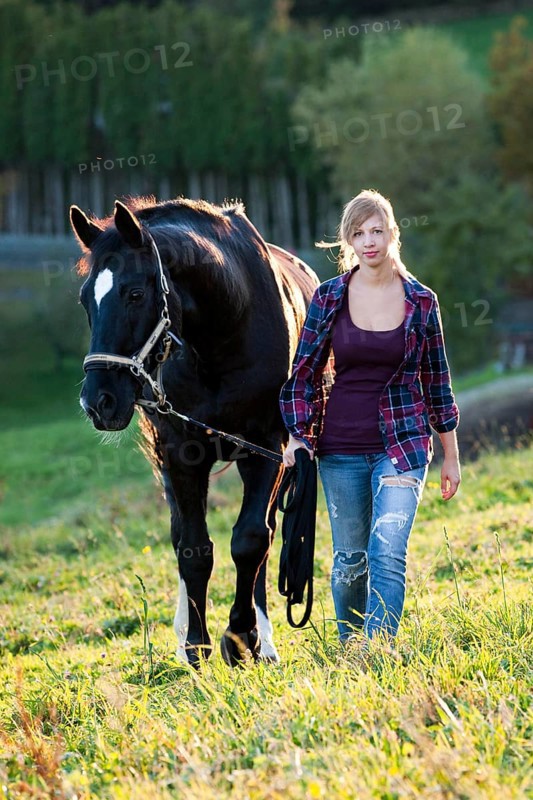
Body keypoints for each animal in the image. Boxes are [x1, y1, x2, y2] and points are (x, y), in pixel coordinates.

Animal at [70, 196, 319, 667]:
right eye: (84, 301)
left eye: (134, 293)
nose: (98, 401)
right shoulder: (179, 451)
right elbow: (193, 547)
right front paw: (196, 643)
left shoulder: (267, 446)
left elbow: (251, 539)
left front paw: (241, 638)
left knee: (265, 536)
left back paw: (263, 639)